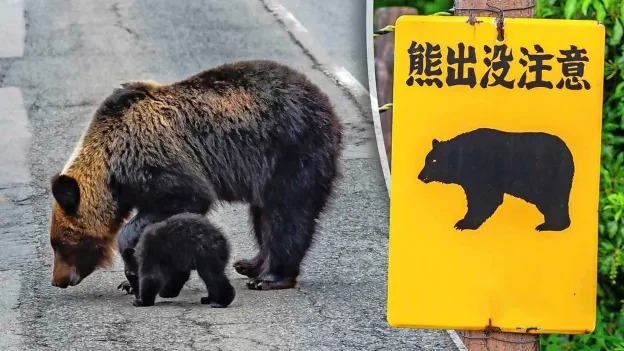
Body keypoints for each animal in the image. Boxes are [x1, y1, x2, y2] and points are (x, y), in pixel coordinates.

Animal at [48, 59, 344, 292]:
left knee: (287, 213)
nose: (58, 280)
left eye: (60, 244)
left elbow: (186, 196)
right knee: (263, 216)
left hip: (293, 150)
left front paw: (133, 270)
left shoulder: (154, 161)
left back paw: (270, 277)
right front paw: (130, 281)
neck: (112, 167)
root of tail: (327, 103)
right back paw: (250, 264)